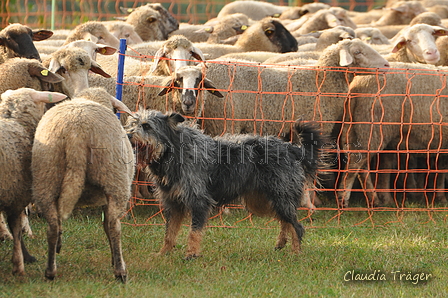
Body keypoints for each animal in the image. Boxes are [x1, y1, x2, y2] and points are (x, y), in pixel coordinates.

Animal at [32, 86, 135, 282]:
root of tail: (76, 133)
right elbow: (106, 226)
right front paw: (113, 259)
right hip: (114, 179)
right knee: (114, 226)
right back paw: (120, 271)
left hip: (46, 176)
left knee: (52, 225)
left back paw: (50, 271)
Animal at [126, 109, 326, 258]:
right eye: (132, 124)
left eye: (147, 126)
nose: (127, 134)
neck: (174, 152)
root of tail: (292, 148)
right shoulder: (173, 204)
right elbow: (169, 234)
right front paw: (163, 253)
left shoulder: (199, 202)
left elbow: (194, 232)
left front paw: (191, 254)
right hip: (264, 202)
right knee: (286, 221)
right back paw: (281, 244)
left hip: (279, 198)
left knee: (297, 226)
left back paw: (296, 252)